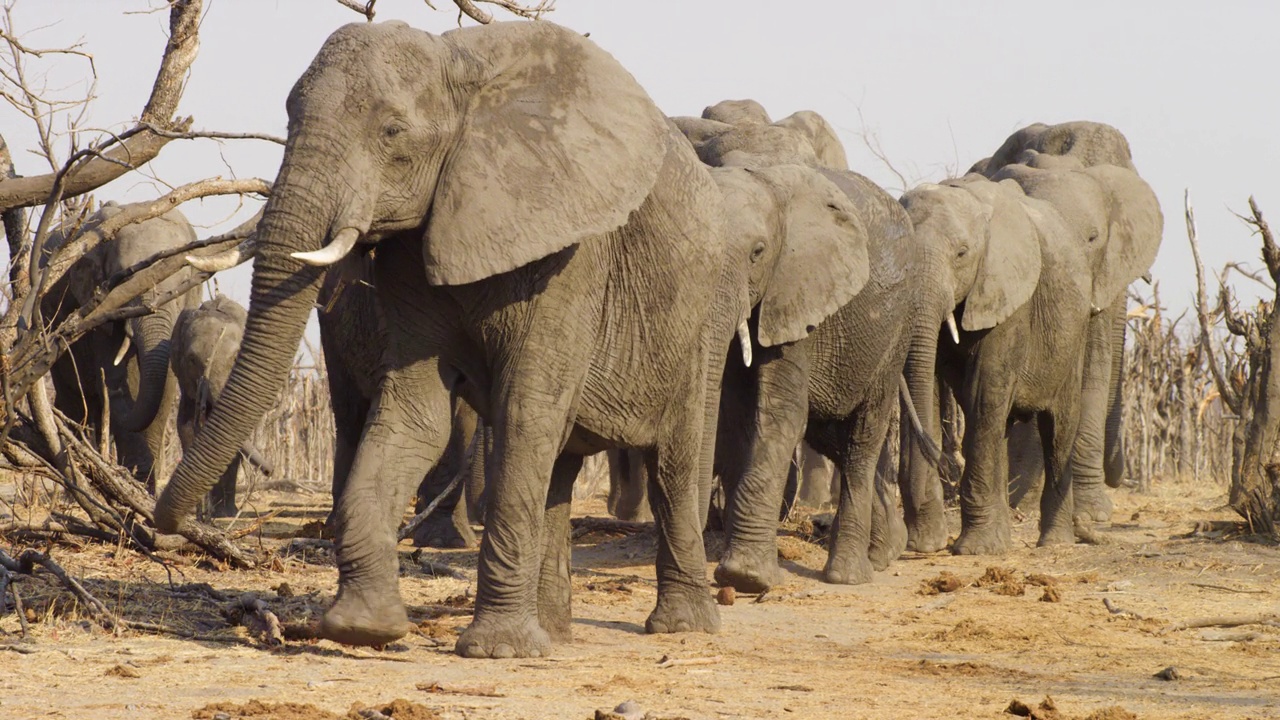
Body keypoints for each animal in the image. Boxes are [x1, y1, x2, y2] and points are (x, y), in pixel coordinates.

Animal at [41, 202, 202, 486]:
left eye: (183, 284)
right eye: (125, 280)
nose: (113, 386)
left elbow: (164, 388)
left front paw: (143, 484)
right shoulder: (97, 307)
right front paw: (138, 480)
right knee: (75, 399)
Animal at [168, 293, 273, 515]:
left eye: (235, 358)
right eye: (192, 360)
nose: (270, 470)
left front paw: (224, 514)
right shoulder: (185, 383)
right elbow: (186, 429)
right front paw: (199, 514)